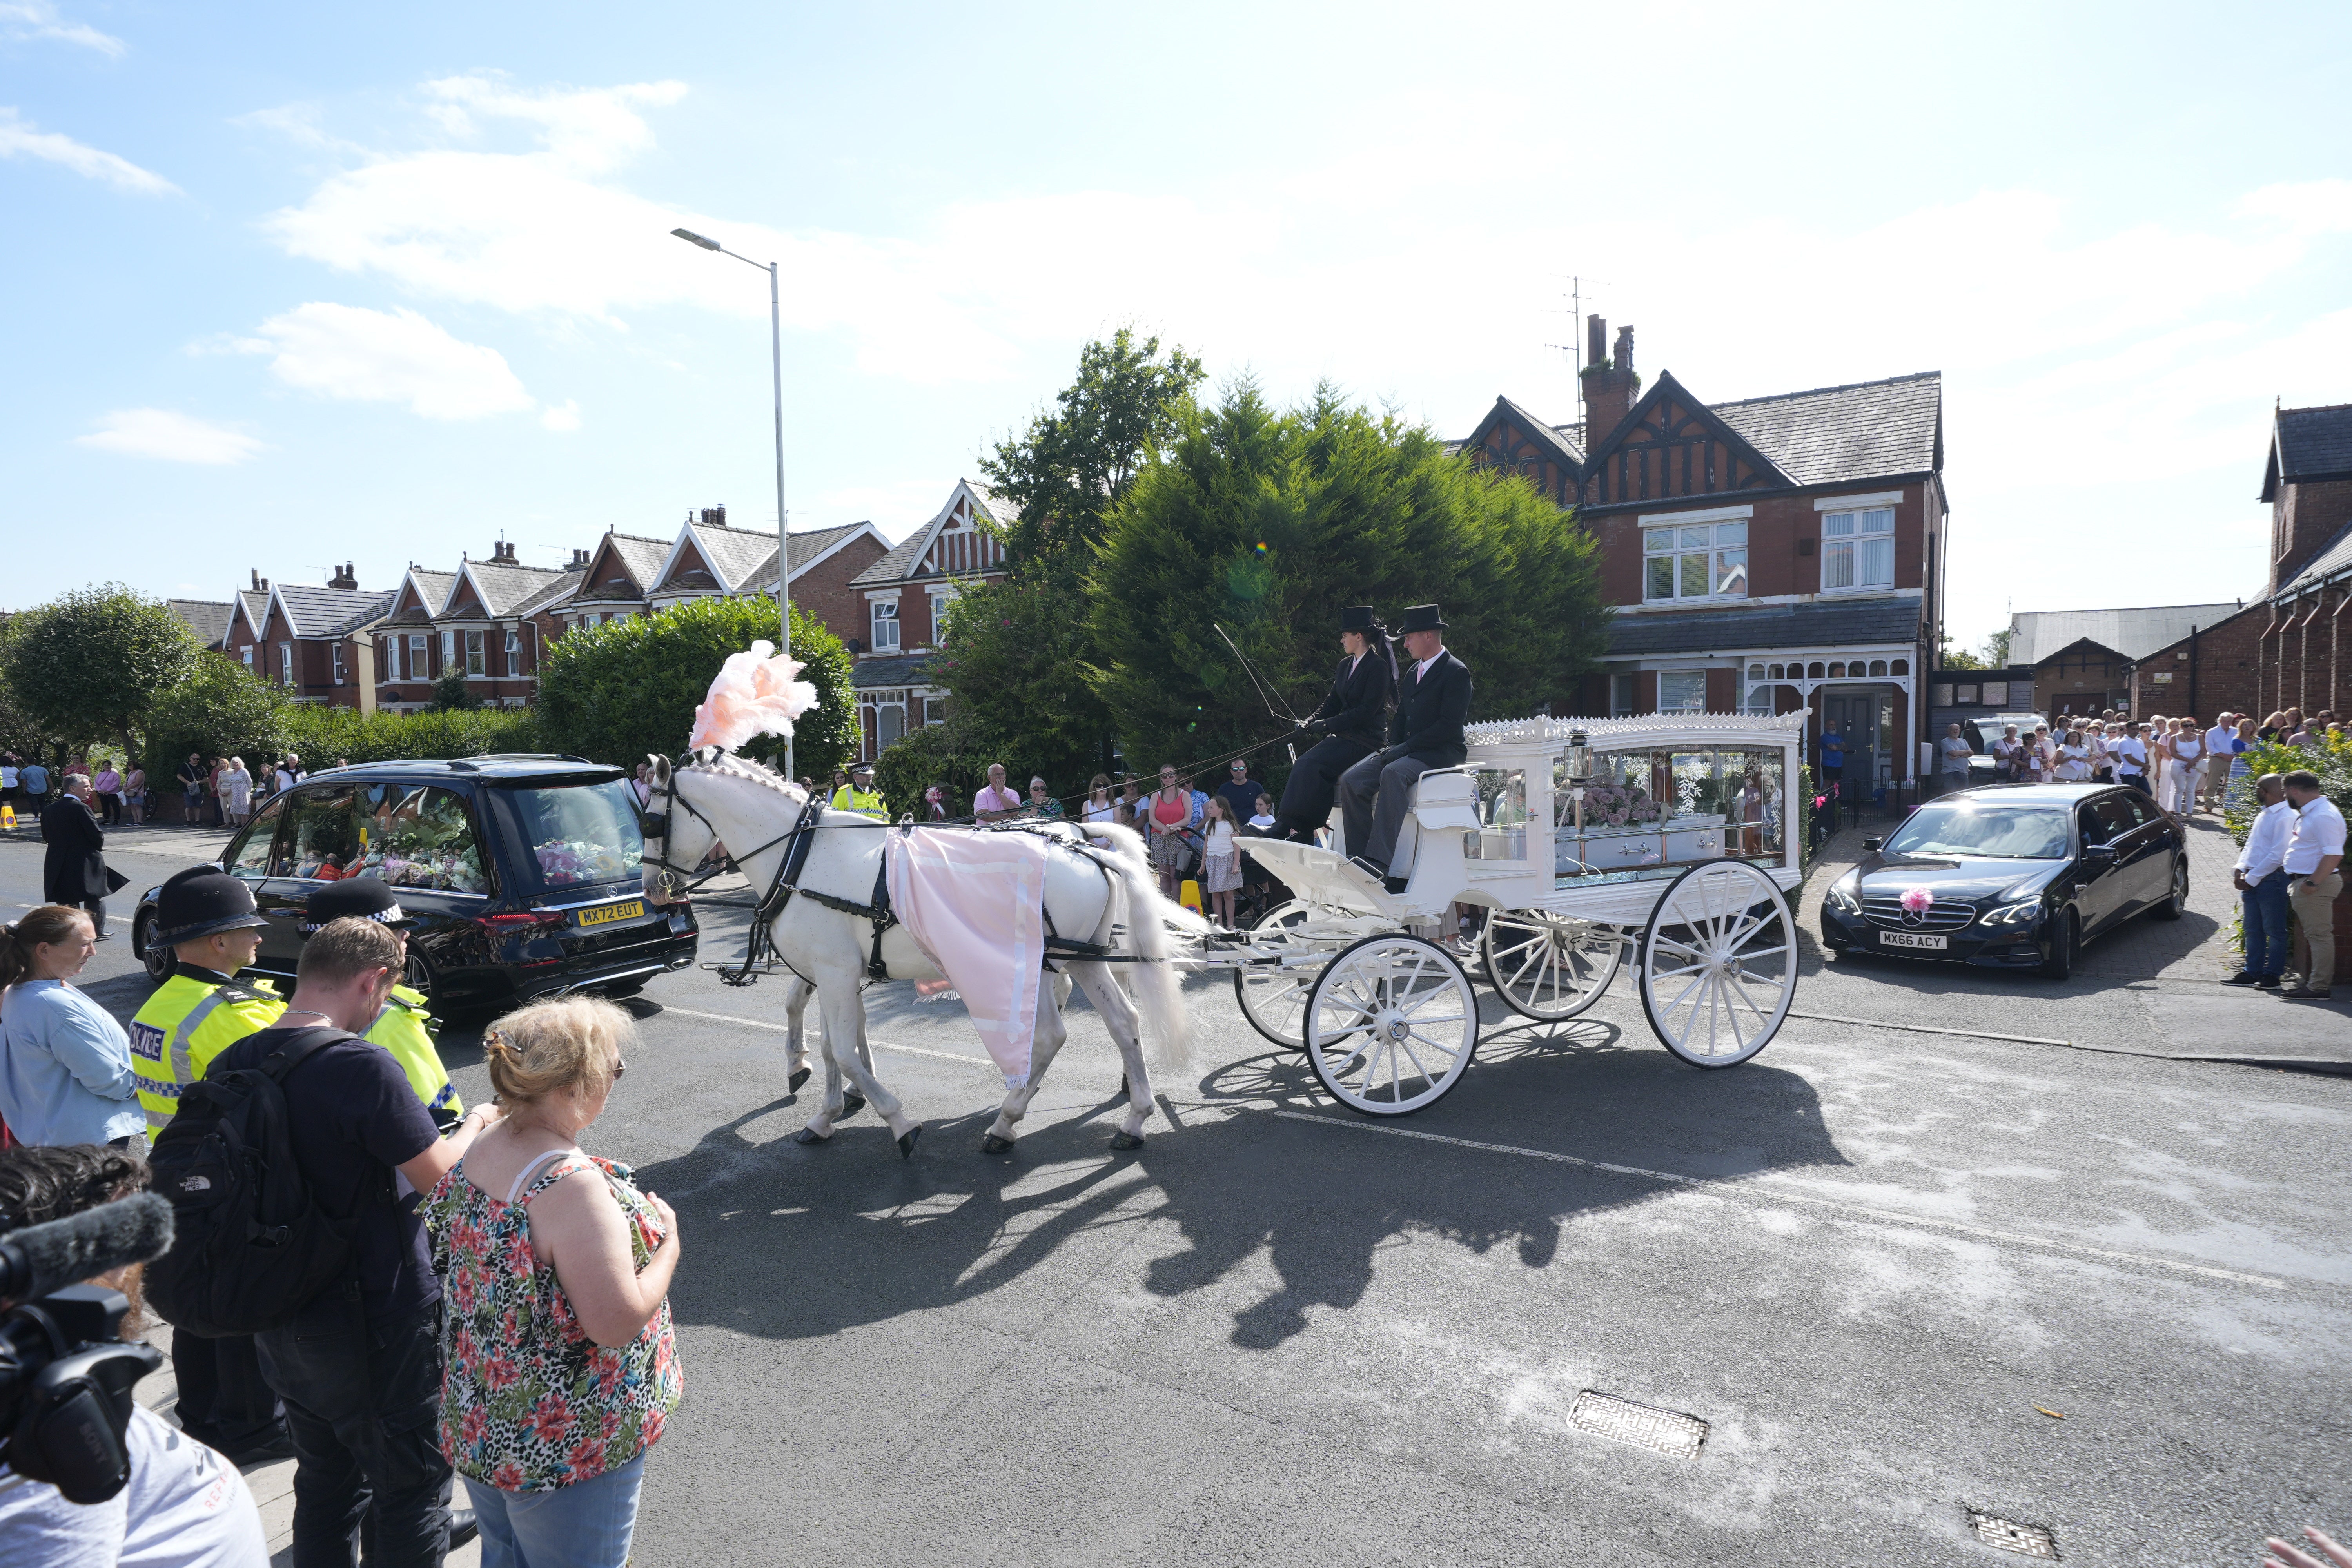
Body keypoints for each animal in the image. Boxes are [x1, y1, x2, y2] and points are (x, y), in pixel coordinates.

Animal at [640, 752, 1195, 1161]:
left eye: (649, 817)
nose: (653, 889)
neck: (801, 857)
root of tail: (1084, 845)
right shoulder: (834, 972)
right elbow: (831, 1046)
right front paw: (825, 1115)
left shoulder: (836, 974)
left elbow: (844, 1051)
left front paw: (898, 1122)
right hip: (1081, 958)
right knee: (1123, 1022)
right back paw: (1132, 1119)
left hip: (1038, 964)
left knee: (1052, 1036)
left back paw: (1008, 1120)